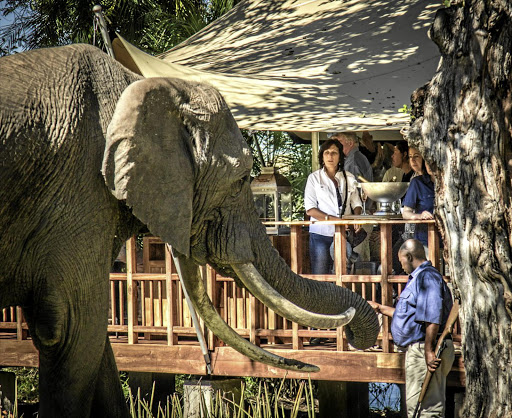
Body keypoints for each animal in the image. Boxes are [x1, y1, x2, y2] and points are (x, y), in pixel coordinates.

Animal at [0, 44, 376, 416]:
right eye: (242, 179)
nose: (355, 339)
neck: (140, 86)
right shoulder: (76, 195)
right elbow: (72, 330)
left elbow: (93, 343)